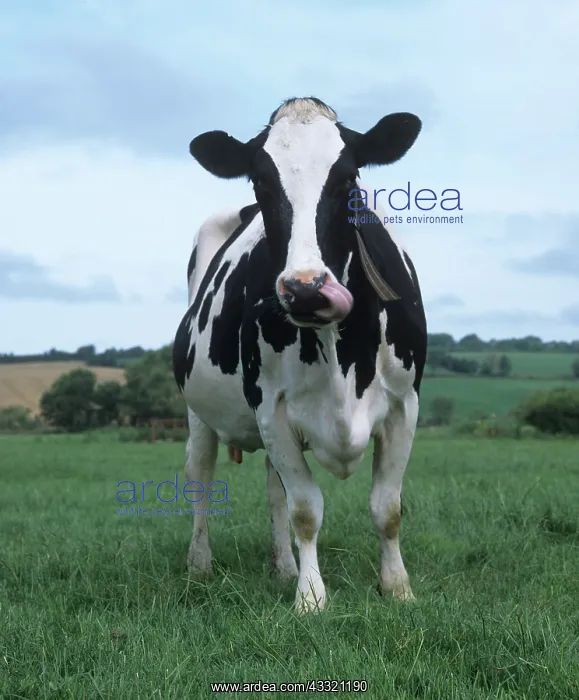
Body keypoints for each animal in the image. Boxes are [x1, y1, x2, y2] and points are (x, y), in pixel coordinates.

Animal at [172, 97, 427, 614]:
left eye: (349, 179)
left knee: (274, 492)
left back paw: (283, 567)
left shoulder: (404, 405)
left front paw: (397, 587)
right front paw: (311, 597)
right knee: (200, 477)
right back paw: (200, 564)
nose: (307, 288)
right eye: (260, 180)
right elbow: (306, 509)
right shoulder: (271, 406)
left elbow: (387, 507)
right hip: (199, 413)